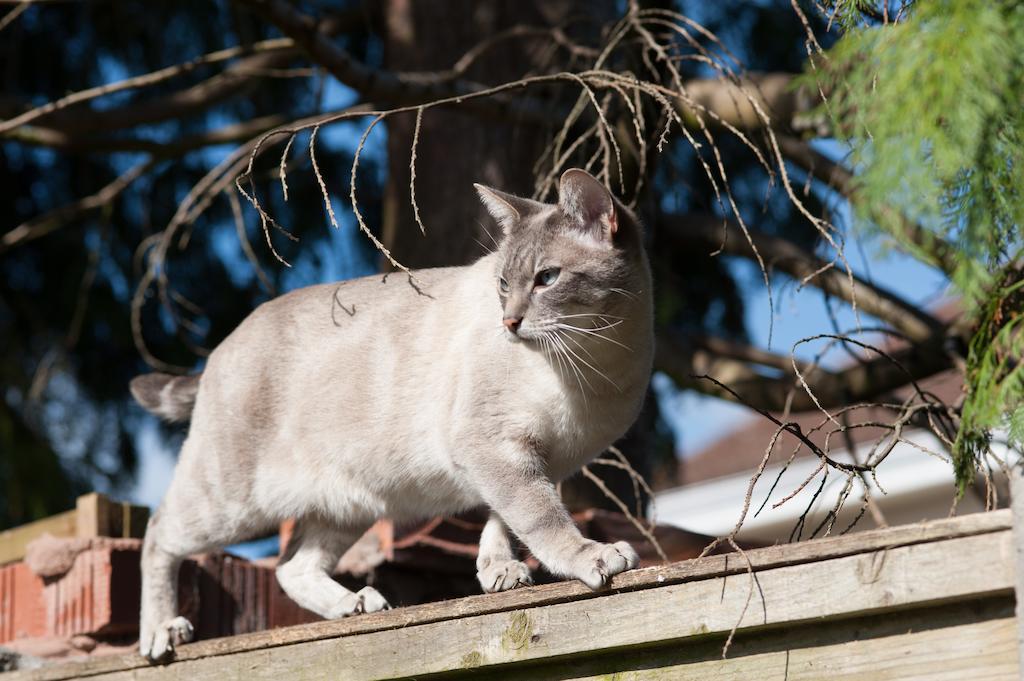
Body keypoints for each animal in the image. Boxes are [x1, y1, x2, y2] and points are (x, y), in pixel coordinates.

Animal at [130, 166, 655, 659]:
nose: (509, 322)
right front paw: (591, 558)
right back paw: (161, 634)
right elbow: (540, 517)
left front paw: (497, 571)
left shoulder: (544, 459)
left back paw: (355, 604)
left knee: (290, 567)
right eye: (505, 285)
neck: (596, 364)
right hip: (230, 502)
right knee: (159, 533)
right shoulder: (493, 448)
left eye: (547, 279)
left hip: (347, 503)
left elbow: (501, 518)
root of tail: (220, 347)